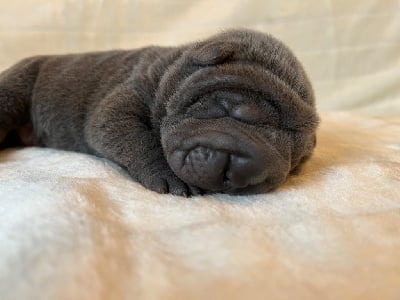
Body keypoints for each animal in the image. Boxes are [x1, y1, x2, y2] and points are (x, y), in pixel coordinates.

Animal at [0, 28, 318, 197]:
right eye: (228, 108)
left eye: (295, 151)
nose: (240, 170)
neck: (169, 70)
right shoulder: (124, 100)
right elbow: (138, 139)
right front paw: (169, 177)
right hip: (15, 88)